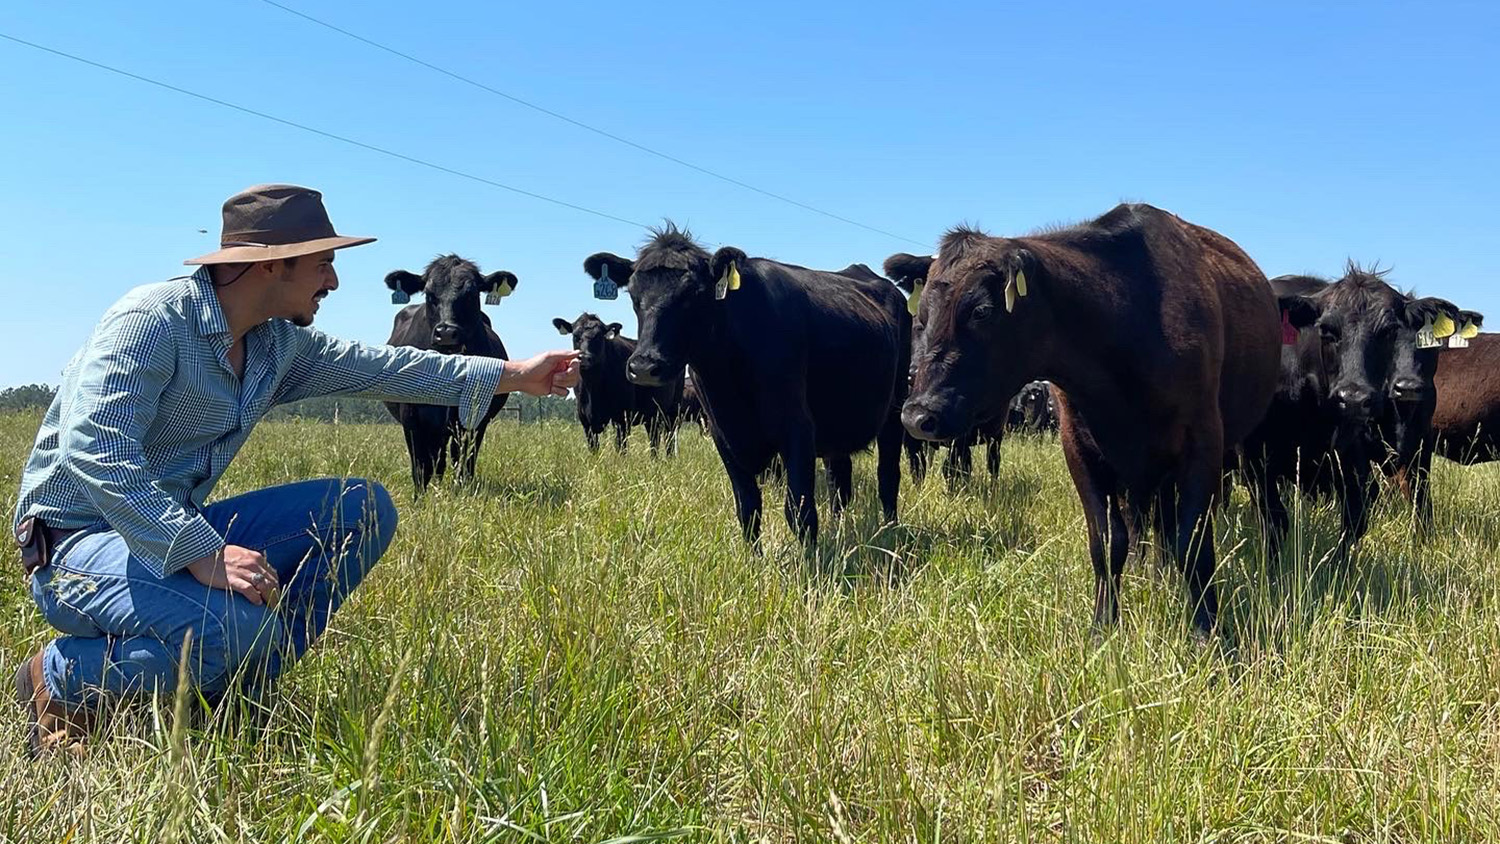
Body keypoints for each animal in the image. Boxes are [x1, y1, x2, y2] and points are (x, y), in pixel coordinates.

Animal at [384, 257, 513, 494]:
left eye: (471, 294)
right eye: (429, 294)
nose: (446, 333)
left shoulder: (474, 420)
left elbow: (465, 464)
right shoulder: (411, 418)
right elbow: (420, 468)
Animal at [555, 311, 684, 455]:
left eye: (599, 337)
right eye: (575, 336)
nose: (584, 358)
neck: (593, 387)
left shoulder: (621, 417)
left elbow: (621, 448)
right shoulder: (586, 421)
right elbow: (594, 449)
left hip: (673, 410)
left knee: (669, 438)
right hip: (652, 414)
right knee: (654, 439)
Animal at [585, 224, 906, 545]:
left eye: (693, 294)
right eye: (633, 295)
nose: (644, 366)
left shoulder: (798, 428)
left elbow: (800, 511)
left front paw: (811, 560)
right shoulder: (723, 435)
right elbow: (748, 510)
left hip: (895, 411)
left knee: (887, 475)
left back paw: (891, 530)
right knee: (839, 482)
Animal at [888, 202, 1278, 635]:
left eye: (982, 311)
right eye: (921, 316)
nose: (918, 414)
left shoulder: (1202, 442)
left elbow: (1191, 543)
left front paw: (1206, 630)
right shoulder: (1079, 446)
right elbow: (1107, 543)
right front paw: (1102, 627)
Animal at [1242, 266, 1464, 551]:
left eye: (1388, 331)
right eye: (1326, 330)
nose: (1354, 398)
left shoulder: (1362, 454)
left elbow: (1355, 521)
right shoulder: (1254, 456)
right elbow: (1274, 520)